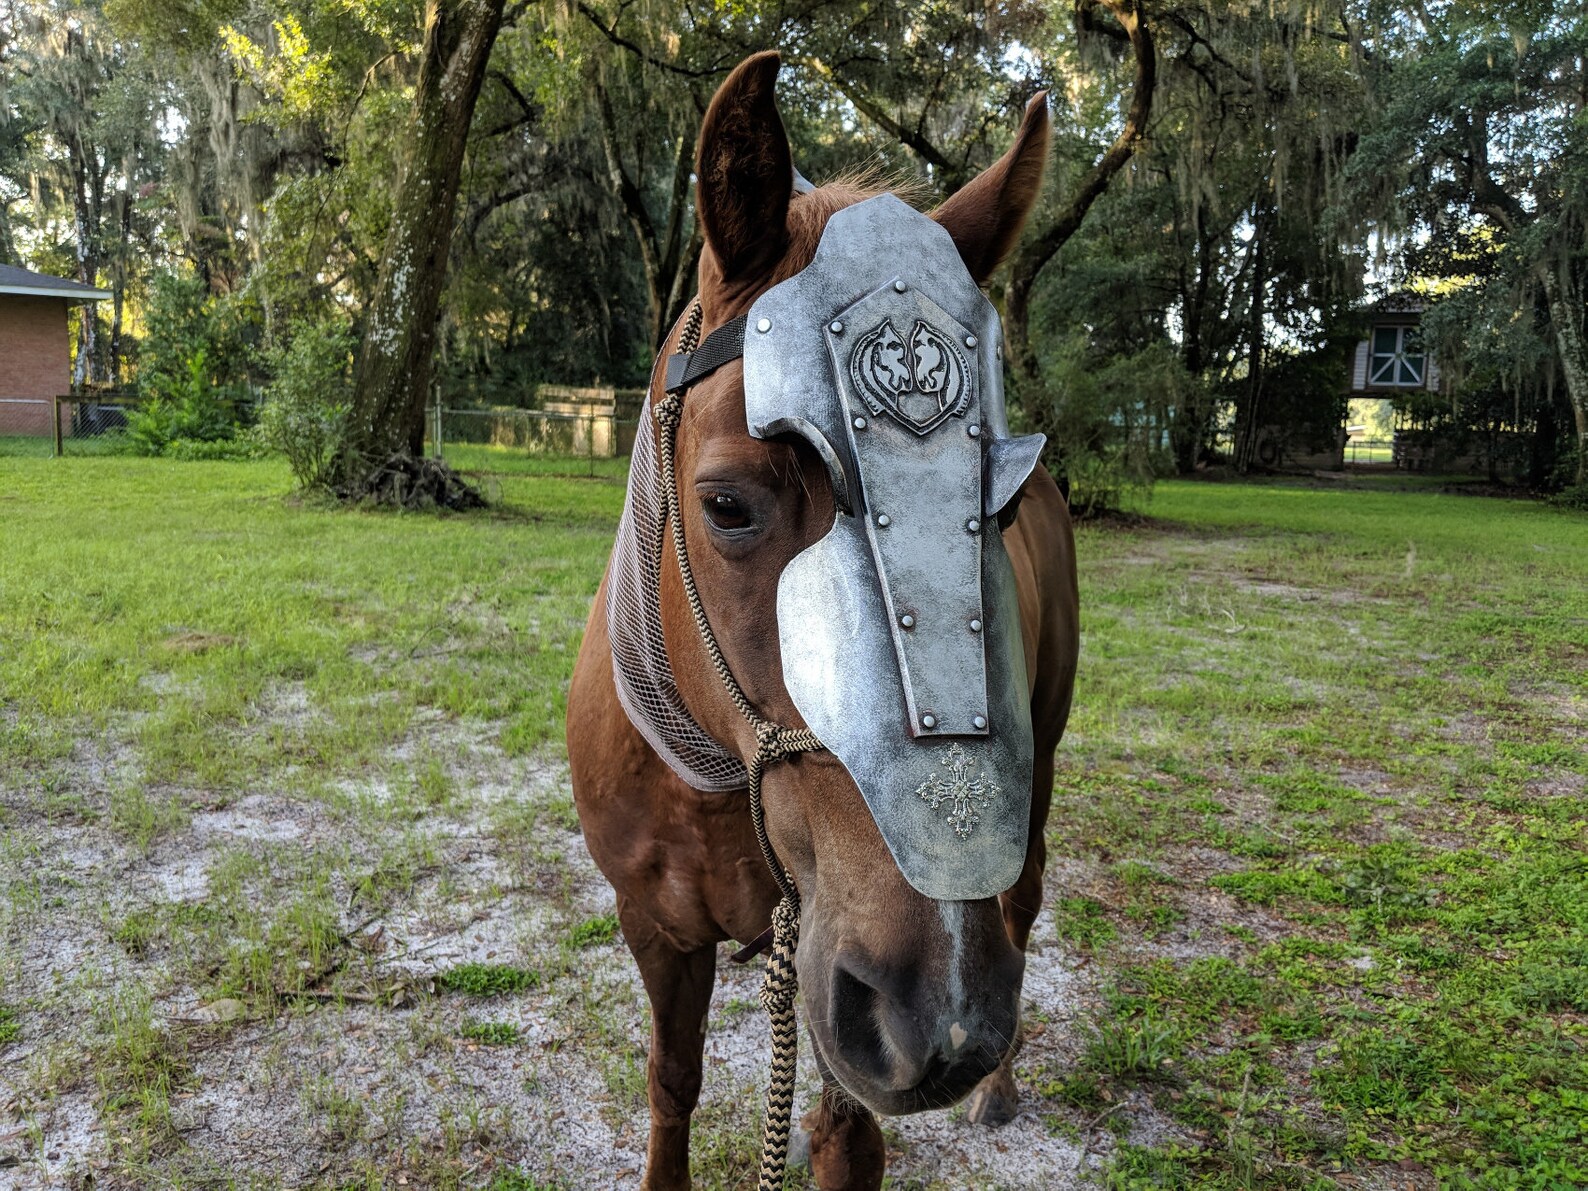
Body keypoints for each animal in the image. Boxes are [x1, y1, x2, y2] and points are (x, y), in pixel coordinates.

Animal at [567, 51, 1079, 1190]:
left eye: (997, 506)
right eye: (726, 505)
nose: (941, 1015)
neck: (711, 771)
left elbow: (846, 1136)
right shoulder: (657, 931)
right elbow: (671, 1086)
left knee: (1022, 902)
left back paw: (999, 1085)